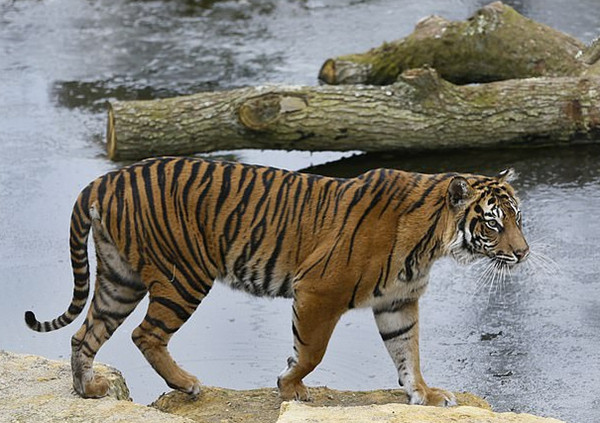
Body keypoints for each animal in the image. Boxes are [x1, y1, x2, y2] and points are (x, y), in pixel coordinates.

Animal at [25, 157, 528, 408]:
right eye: (493, 223)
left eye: (519, 218)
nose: (523, 252)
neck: (431, 242)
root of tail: (102, 180)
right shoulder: (319, 291)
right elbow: (311, 351)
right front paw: (290, 385)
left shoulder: (398, 302)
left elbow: (408, 351)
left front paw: (424, 393)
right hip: (182, 275)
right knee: (144, 334)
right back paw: (188, 385)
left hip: (120, 278)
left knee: (85, 334)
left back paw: (88, 391)